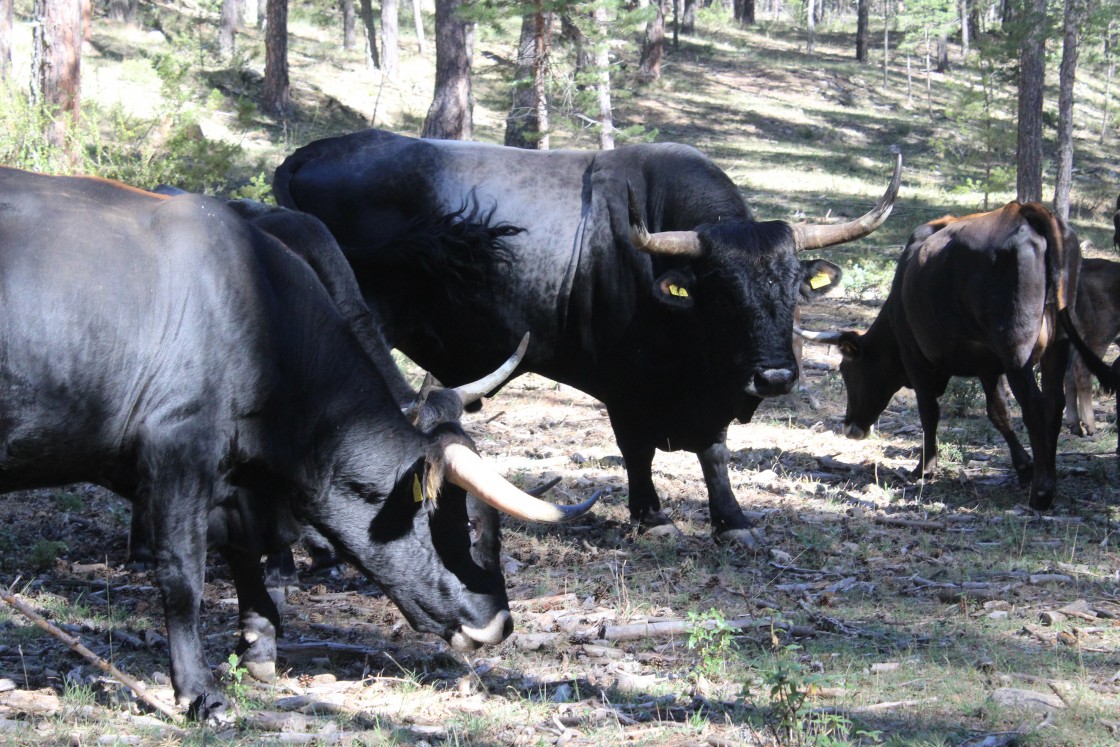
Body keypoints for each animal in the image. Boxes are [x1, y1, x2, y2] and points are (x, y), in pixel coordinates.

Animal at [0, 167, 595, 716]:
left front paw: (260, 642)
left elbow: (243, 548)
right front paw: (200, 693)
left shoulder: (234, 478)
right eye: (468, 523)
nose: (499, 625)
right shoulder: (179, 453)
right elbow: (184, 575)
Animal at [271, 128, 900, 546]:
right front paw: (653, 516)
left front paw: (733, 520)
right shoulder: (625, 386)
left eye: (794, 286)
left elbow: (715, 452)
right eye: (723, 293)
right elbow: (636, 449)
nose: (775, 375)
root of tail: (311, 153)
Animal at [801, 201, 1115, 510]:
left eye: (847, 371)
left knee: (1035, 406)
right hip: (1056, 345)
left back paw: (1042, 491)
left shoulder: (916, 359)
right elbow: (998, 412)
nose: (850, 427)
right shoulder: (988, 366)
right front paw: (1024, 466)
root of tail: (1023, 211)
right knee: (1054, 402)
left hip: (1017, 351)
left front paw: (924, 468)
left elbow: (929, 412)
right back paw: (1047, 476)